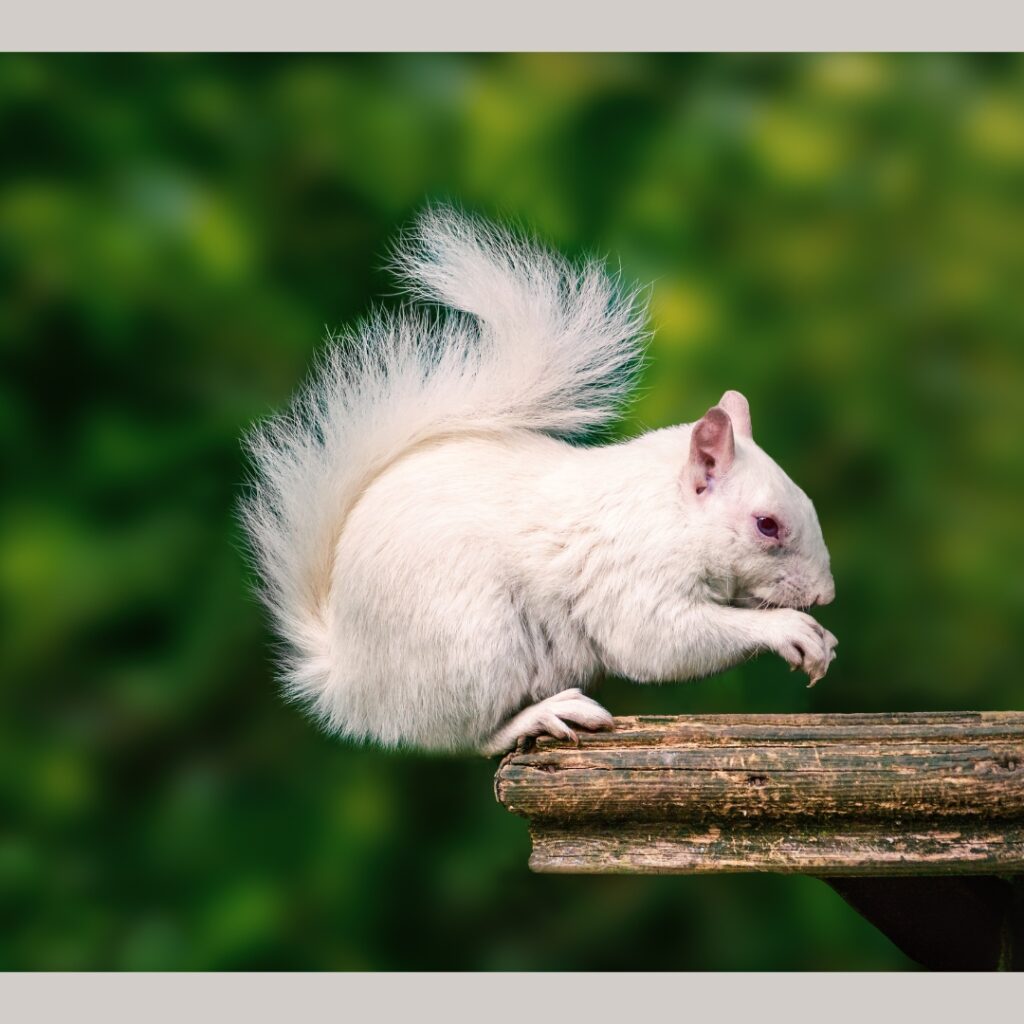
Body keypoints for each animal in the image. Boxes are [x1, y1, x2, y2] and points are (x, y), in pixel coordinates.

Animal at [243, 209, 835, 753]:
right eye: (765, 525)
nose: (825, 595)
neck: (667, 511)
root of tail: (350, 682)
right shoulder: (631, 577)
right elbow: (657, 640)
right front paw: (789, 630)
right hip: (475, 646)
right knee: (472, 737)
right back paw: (544, 715)